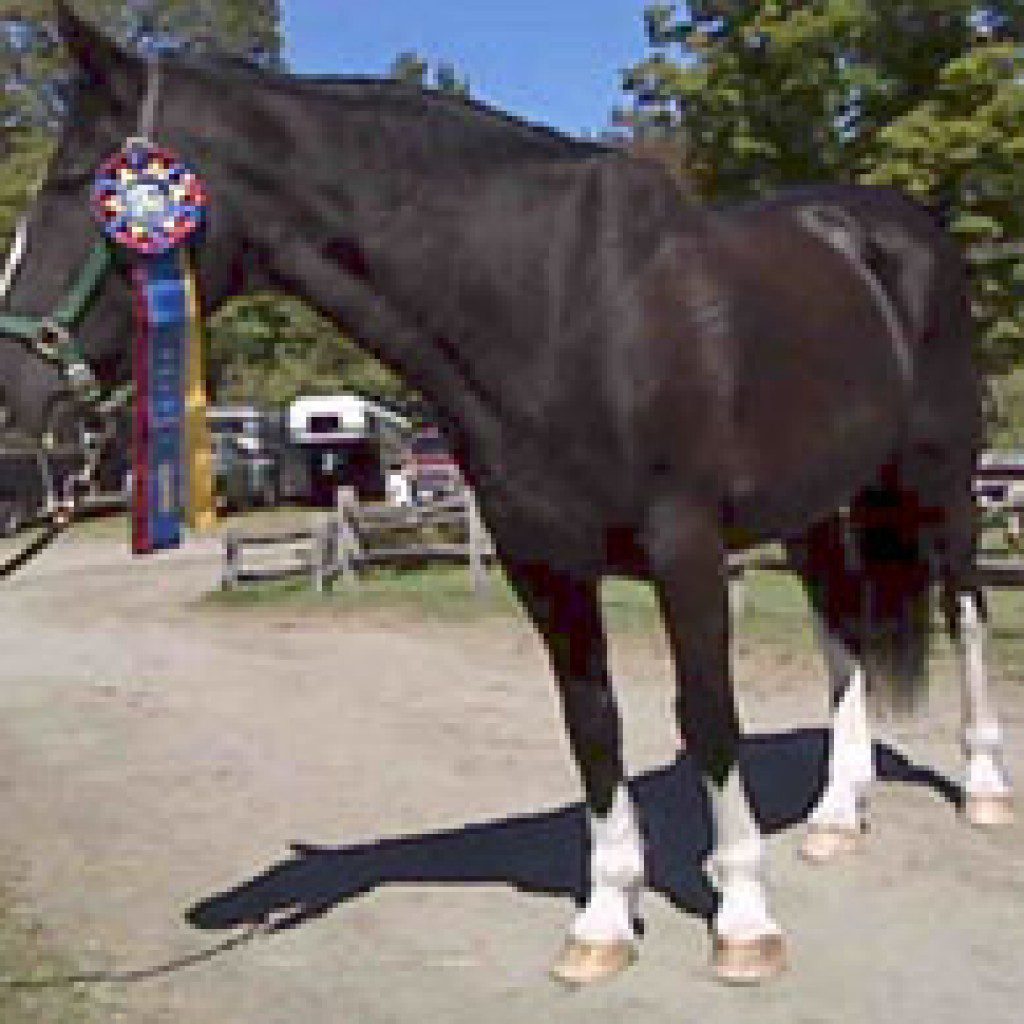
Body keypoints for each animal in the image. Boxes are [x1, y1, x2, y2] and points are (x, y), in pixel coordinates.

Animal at [0, 2, 1007, 983]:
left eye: (77, 180)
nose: (16, 385)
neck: (563, 301)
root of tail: (889, 232)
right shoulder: (542, 562)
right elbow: (591, 725)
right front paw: (604, 922)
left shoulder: (685, 547)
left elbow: (709, 717)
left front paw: (744, 919)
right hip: (813, 507)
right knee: (841, 628)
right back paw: (838, 815)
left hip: (942, 477)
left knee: (965, 606)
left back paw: (985, 790)